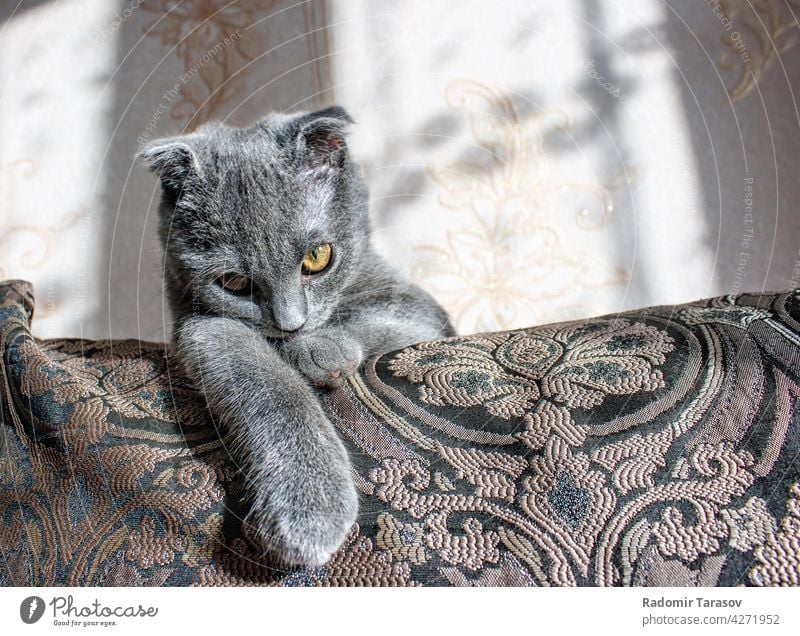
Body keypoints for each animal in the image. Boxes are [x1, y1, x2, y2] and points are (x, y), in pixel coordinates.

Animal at [141, 108, 454, 568]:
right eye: (234, 282)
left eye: (317, 258)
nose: (292, 324)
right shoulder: (198, 325)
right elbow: (263, 379)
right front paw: (310, 507)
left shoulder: (422, 313)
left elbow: (373, 320)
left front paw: (319, 349)